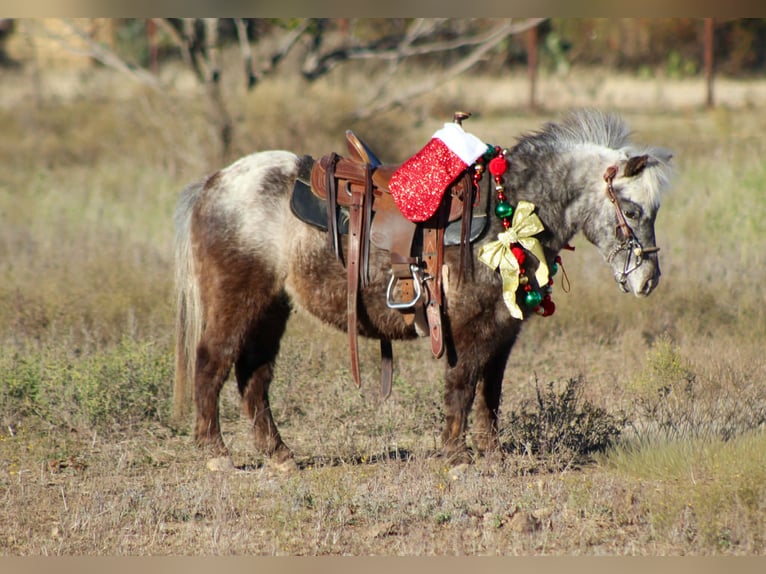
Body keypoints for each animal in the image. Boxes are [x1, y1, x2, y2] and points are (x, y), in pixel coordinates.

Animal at [173, 109, 673, 466]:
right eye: (631, 209)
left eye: (654, 211)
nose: (648, 280)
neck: (510, 208)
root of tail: (214, 183)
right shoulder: (473, 327)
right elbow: (463, 384)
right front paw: (456, 455)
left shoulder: (503, 332)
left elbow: (490, 392)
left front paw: (491, 454)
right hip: (237, 300)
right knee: (211, 362)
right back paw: (215, 453)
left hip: (272, 307)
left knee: (253, 375)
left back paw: (279, 455)